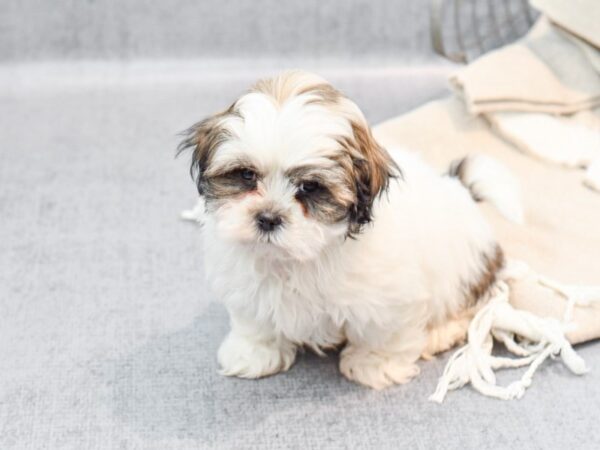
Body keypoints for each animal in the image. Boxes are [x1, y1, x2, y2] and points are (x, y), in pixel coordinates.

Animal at [178, 70, 520, 390]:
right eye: (247, 175)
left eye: (310, 187)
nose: (267, 218)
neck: (298, 258)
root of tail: (459, 189)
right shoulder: (247, 285)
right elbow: (255, 318)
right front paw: (254, 352)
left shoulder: (390, 298)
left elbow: (383, 332)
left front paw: (376, 364)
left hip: (462, 269)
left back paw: (439, 332)